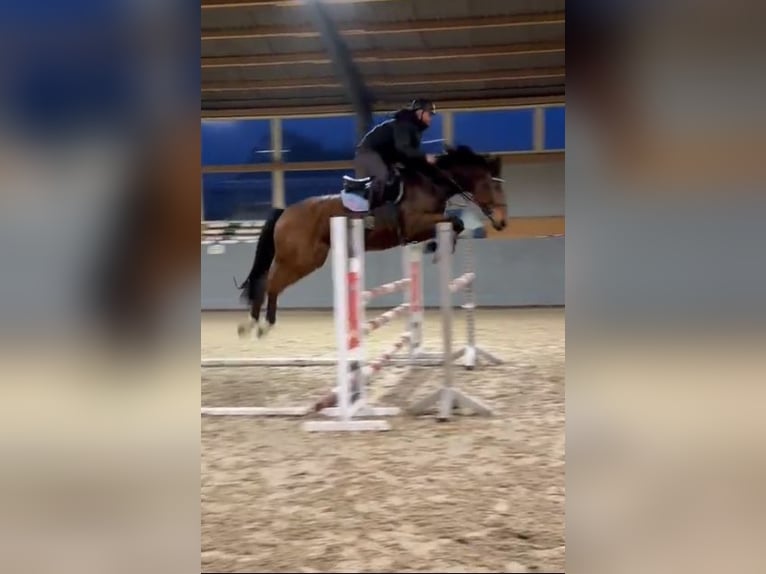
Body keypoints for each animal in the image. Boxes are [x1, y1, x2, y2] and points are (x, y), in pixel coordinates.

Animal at [236, 145, 508, 338]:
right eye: (492, 186)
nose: (502, 222)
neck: (432, 183)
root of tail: (286, 211)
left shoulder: (420, 229)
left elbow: (454, 224)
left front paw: (435, 246)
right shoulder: (414, 225)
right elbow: (456, 221)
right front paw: (439, 249)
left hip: (308, 259)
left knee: (271, 283)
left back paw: (260, 324)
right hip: (299, 259)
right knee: (269, 283)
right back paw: (256, 324)